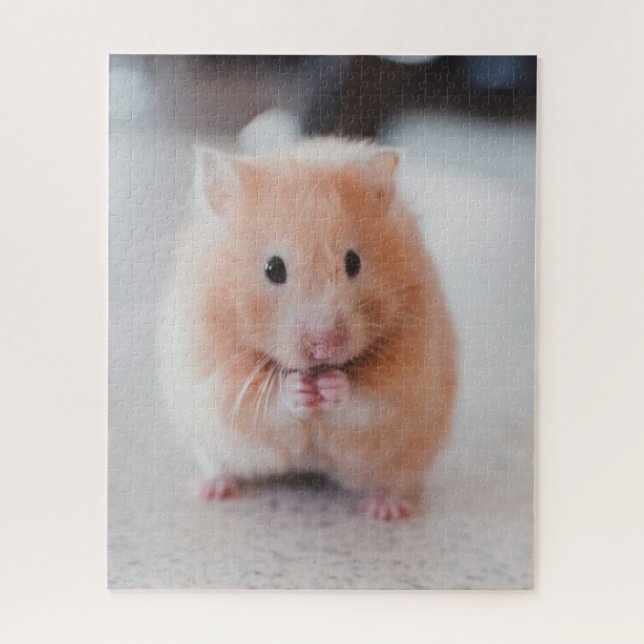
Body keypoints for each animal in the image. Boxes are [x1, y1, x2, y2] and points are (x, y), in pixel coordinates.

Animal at [157, 136, 457, 520]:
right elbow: (263, 401)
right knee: (219, 463)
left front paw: (331, 385)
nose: (324, 347)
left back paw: (385, 510)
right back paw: (211, 489)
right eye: (273, 268)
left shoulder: (408, 373)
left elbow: (366, 398)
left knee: (390, 481)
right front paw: (299, 389)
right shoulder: (214, 371)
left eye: (354, 262)